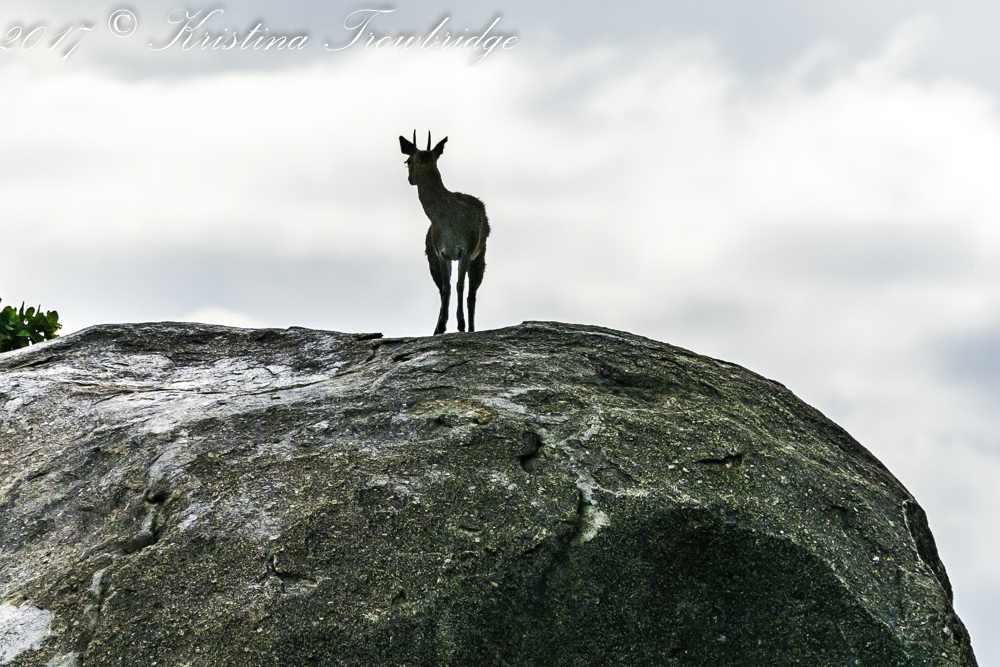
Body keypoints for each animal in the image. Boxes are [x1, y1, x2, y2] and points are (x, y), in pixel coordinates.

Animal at [399, 130, 490, 335]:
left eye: (407, 161)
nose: (410, 179)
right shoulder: (441, 252)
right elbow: (447, 287)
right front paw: (442, 326)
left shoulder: (466, 249)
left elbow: (459, 286)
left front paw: (461, 325)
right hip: (431, 258)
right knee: (443, 289)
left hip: (480, 256)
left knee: (472, 293)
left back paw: (471, 328)